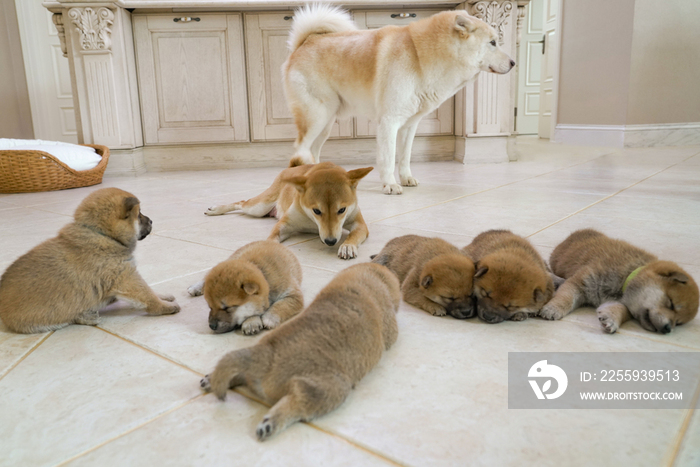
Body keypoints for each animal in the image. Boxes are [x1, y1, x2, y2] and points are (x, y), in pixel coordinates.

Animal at [0, 188, 180, 334]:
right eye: (139, 214)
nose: (151, 220)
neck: (103, 235)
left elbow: (150, 290)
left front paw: (164, 296)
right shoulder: (127, 278)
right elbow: (147, 295)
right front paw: (165, 307)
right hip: (49, 319)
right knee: (70, 318)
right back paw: (87, 316)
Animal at [201, 264, 400, 442]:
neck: (365, 279)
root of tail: (264, 357)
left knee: (237, 373)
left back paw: (211, 379)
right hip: (330, 388)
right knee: (297, 402)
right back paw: (270, 423)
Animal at [205, 163, 374, 262]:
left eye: (342, 210)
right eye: (316, 210)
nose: (331, 241)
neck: (312, 221)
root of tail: (291, 168)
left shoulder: (359, 223)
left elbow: (354, 234)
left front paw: (347, 246)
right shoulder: (286, 223)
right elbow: (273, 235)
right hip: (259, 207)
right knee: (241, 202)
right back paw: (216, 209)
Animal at [284, 4, 516, 194]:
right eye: (493, 42)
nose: (514, 63)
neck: (419, 56)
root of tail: (305, 42)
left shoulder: (409, 126)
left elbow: (404, 157)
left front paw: (406, 179)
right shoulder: (389, 122)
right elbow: (388, 158)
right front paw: (390, 184)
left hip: (326, 123)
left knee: (312, 150)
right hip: (316, 118)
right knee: (300, 149)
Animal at [540, 229, 696, 332]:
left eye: (678, 323)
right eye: (671, 304)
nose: (668, 329)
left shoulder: (618, 302)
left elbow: (620, 310)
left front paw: (612, 320)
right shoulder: (580, 283)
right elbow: (566, 297)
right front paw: (553, 308)